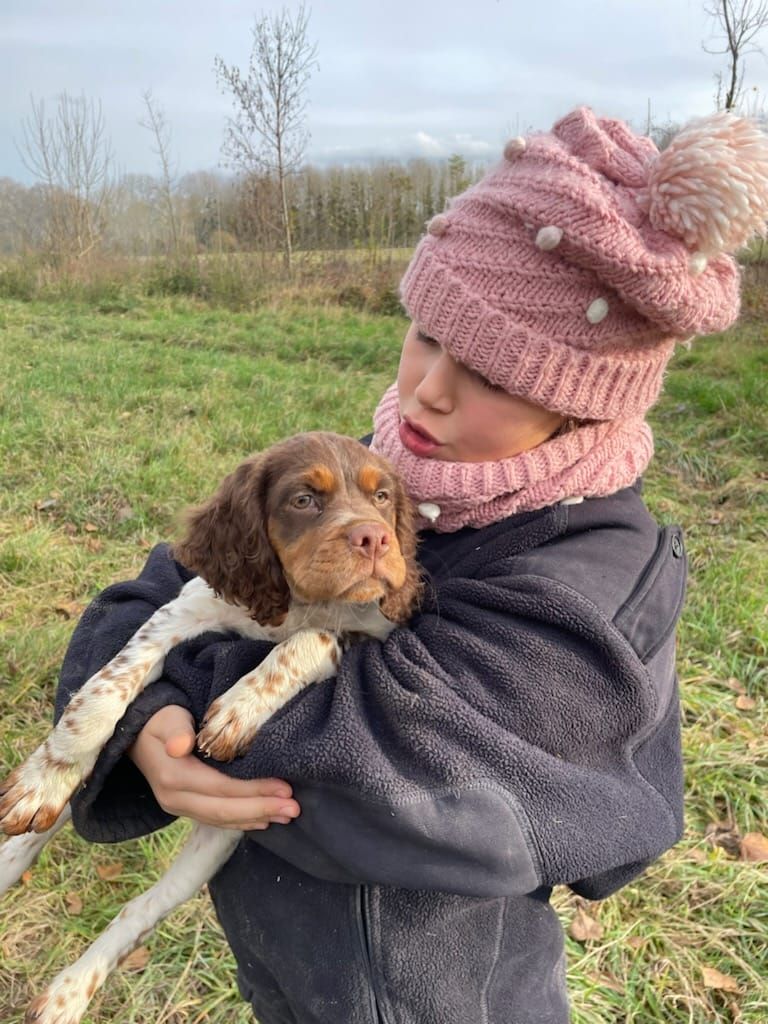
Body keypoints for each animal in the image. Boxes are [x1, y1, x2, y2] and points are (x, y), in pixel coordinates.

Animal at [0, 430, 421, 1024]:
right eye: (303, 500)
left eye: (382, 496)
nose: (376, 540)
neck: (294, 599)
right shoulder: (184, 610)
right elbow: (105, 689)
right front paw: (45, 778)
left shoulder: (367, 631)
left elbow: (310, 638)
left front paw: (238, 708)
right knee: (50, 820)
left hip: (215, 843)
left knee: (138, 910)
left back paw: (67, 994)